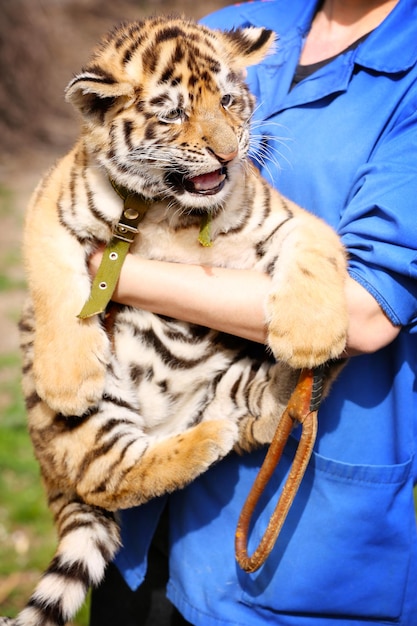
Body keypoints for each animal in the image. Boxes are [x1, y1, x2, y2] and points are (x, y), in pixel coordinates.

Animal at [1, 14, 346, 624]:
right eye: (174, 114)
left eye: (229, 101)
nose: (229, 155)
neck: (171, 211)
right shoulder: (49, 210)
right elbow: (56, 283)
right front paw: (67, 379)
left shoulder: (286, 220)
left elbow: (317, 250)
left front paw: (312, 338)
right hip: (96, 423)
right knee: (113, 474)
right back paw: (205, 436)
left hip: (232, 378)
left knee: (261, 418)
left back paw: (296, 386)